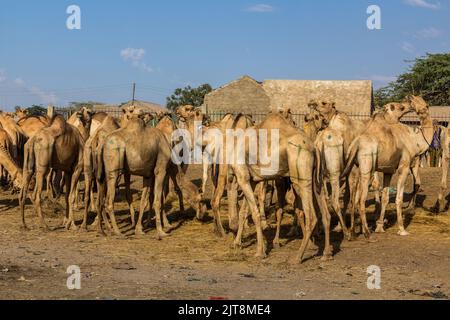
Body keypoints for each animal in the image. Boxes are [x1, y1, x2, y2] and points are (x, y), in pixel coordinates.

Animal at [342, 101, 432, 236]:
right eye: (401, 107)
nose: (409, 104)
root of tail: (355, 145)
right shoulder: (404, 167)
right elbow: (398, 198)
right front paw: (402, 229)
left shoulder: (387, 170)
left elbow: (385, 197)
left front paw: (380, 227)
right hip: (366, 168)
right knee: (360, 200)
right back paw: (366, 232)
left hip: (354, 169)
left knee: (353, 198)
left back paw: (352, 232)